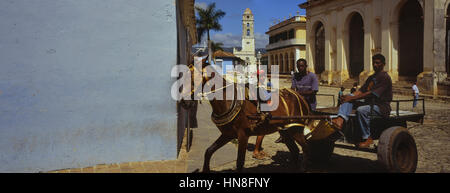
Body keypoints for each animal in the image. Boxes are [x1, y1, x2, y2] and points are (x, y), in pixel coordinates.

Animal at [181, 62, 314, 173]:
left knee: (306, 148)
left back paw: (303, 168)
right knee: (295, 151)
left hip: (296, 129)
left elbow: (240, 162)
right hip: (286, 131)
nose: (184, 102)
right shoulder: (228, 134)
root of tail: (300, 97)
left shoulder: (243, 135)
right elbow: (208, 151)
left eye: (193, 79)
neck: (228, 100)